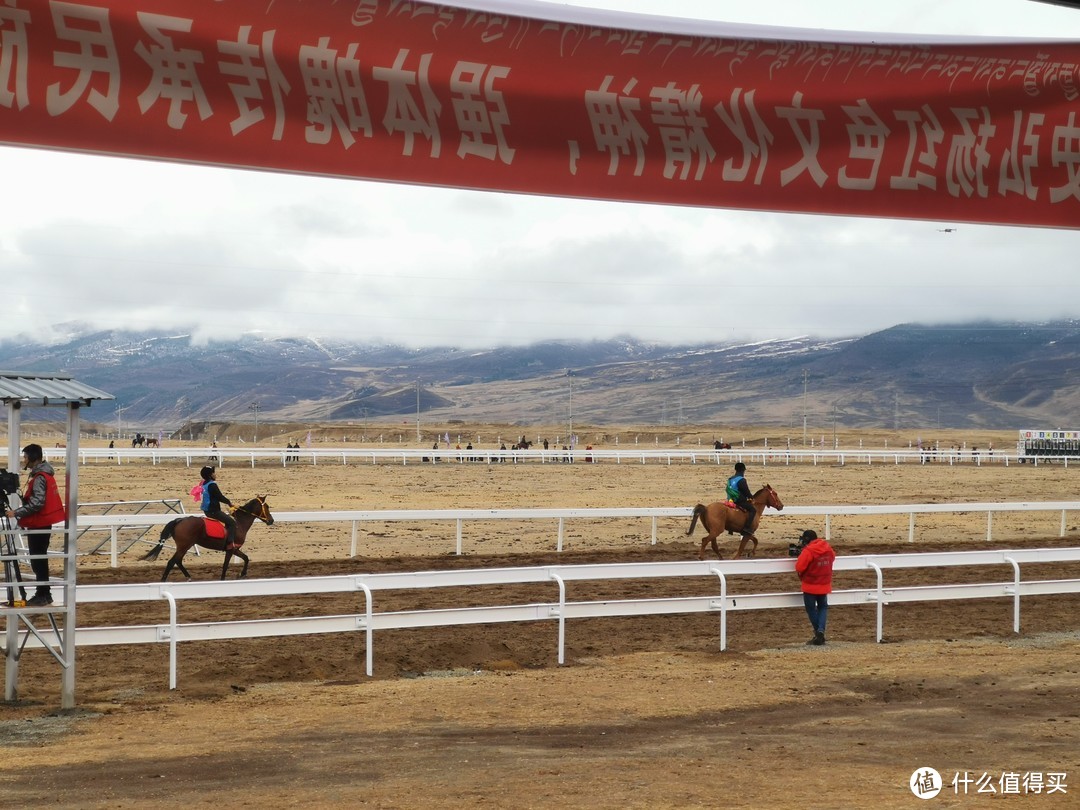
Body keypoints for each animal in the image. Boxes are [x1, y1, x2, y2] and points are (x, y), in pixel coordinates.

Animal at [140, 498, 274, 578]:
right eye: (267, 506)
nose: (271, 520)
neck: (239, 524)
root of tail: (179, 520)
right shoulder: (231, 549)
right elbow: (226, 565)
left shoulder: (235, 549)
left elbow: (246, 558)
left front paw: (243, 573)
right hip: (184, 546)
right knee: (172, 562)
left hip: (184, 546)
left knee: (177, 561)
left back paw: (189, 577)